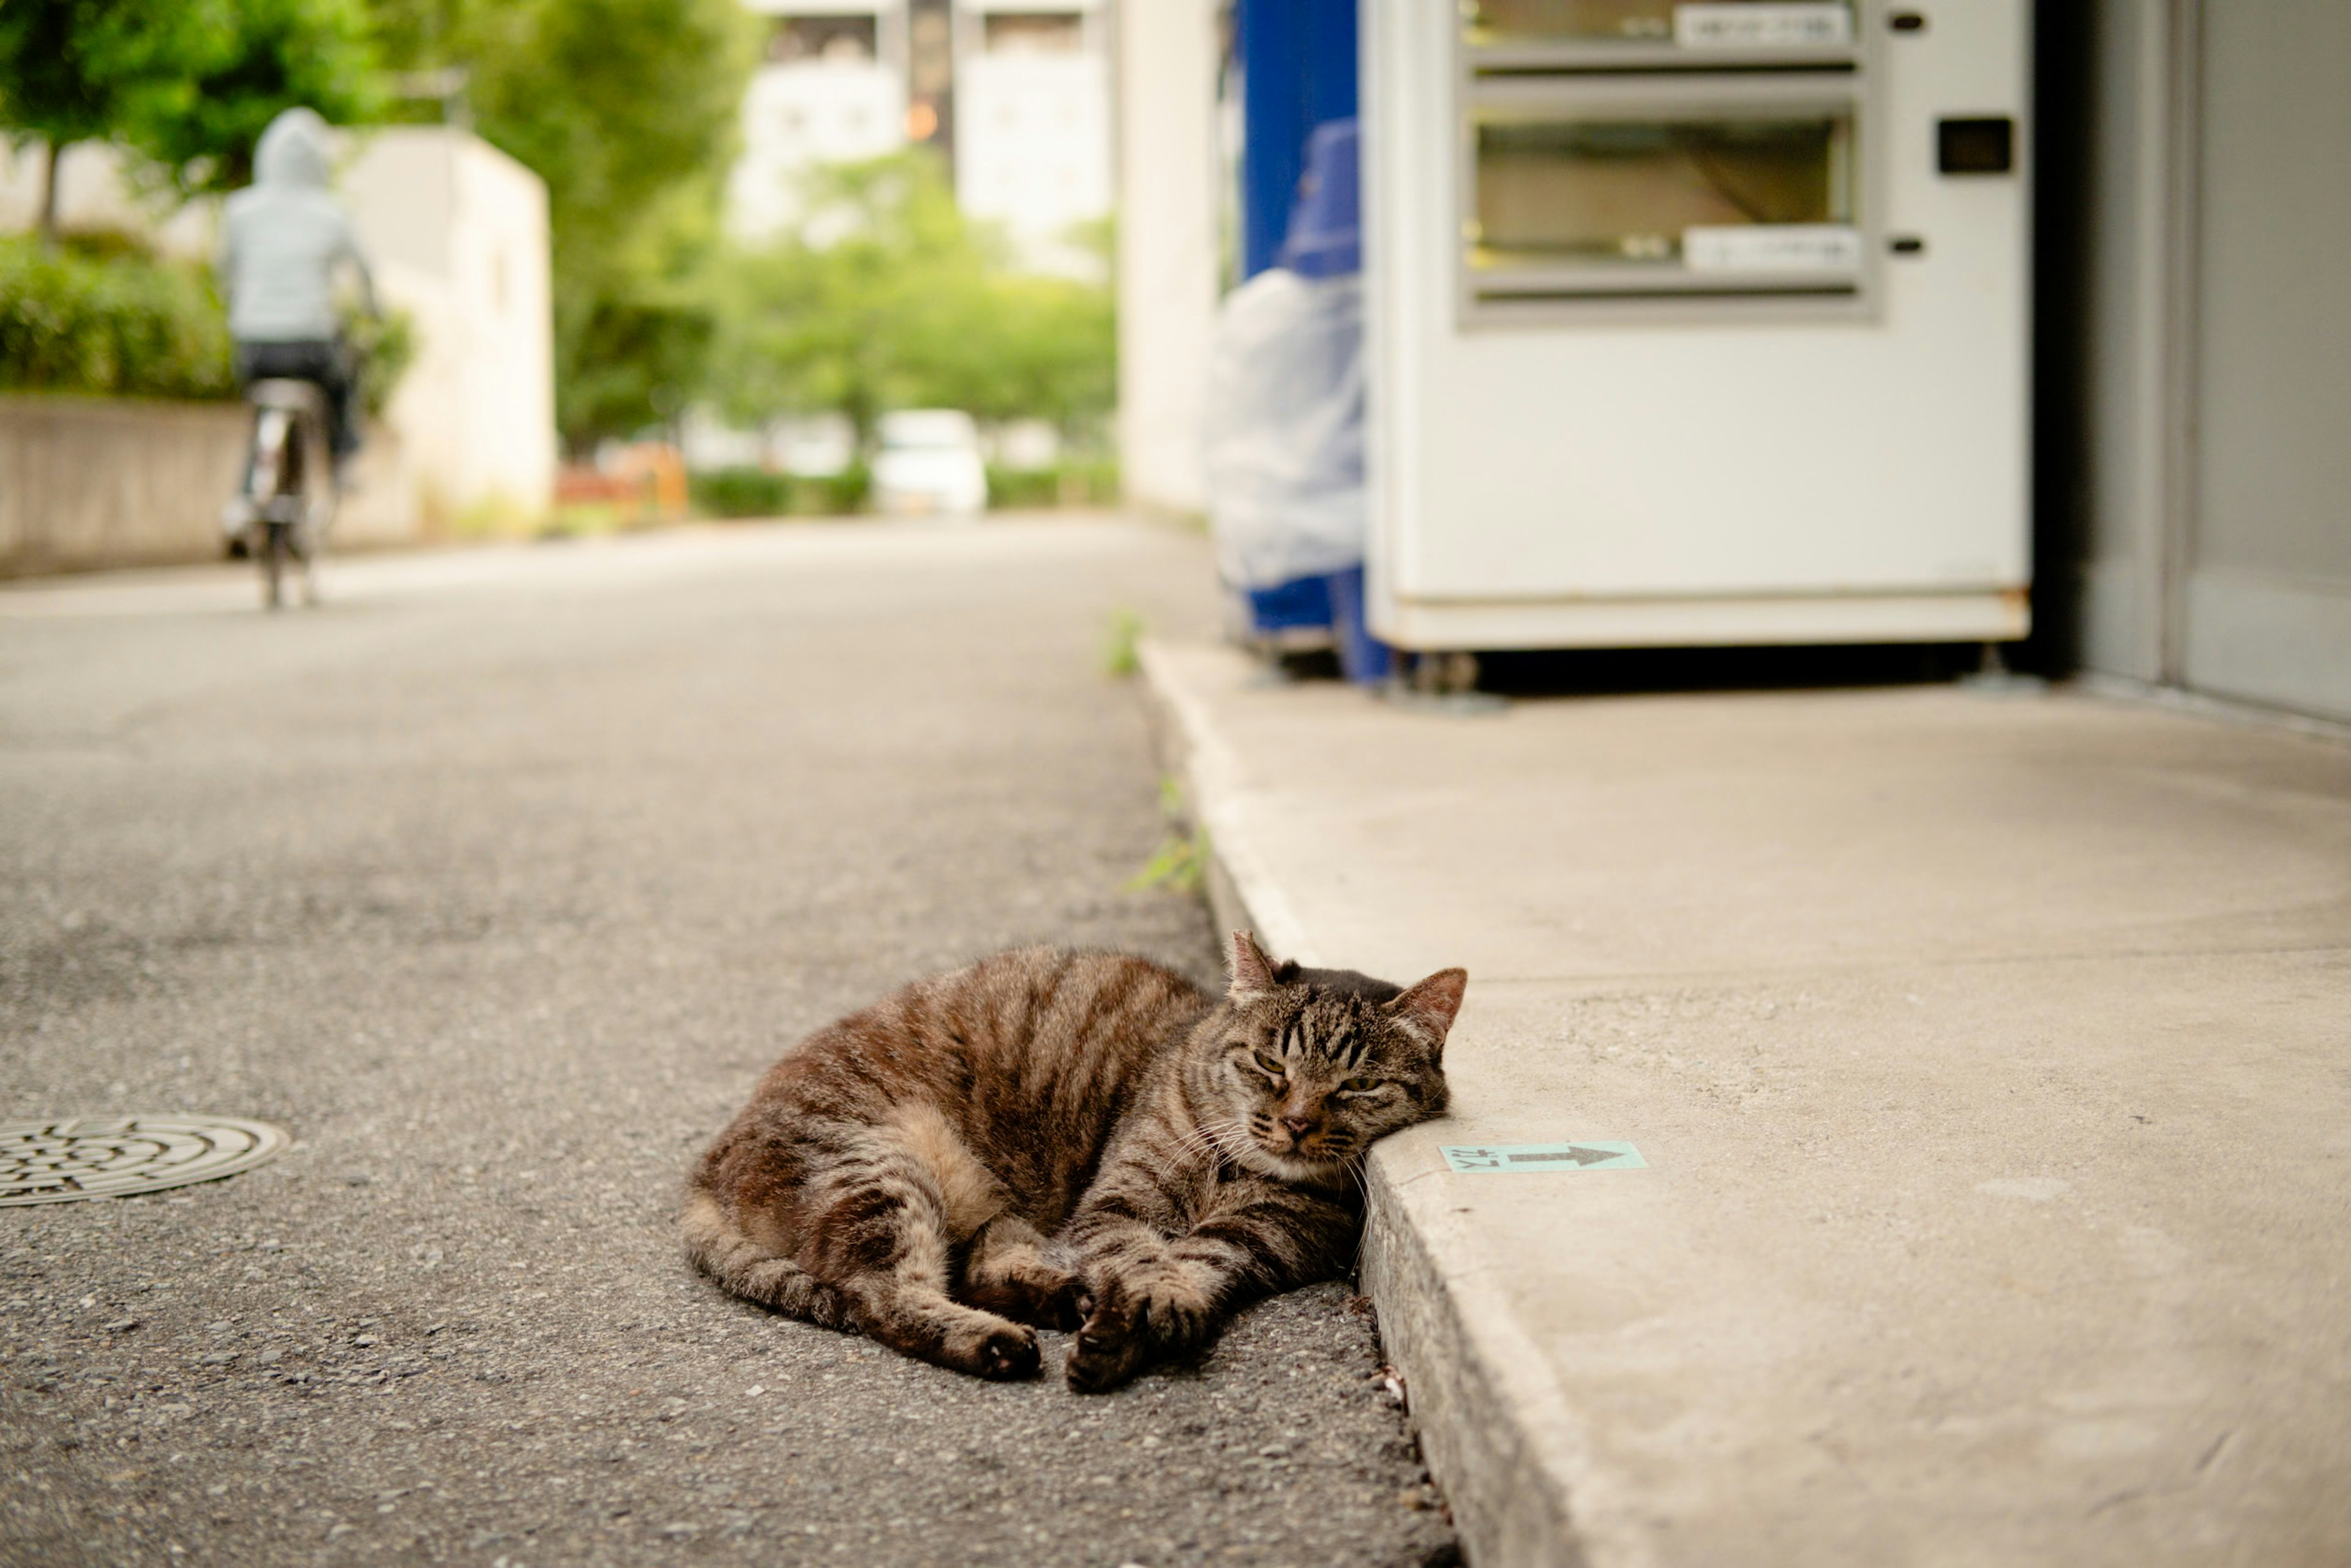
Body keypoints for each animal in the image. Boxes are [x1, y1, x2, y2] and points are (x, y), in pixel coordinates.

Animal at [681, 926, 1457, 1392]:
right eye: (1270, 1063)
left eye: (1357, 1085)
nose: (1296, 1124)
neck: (1236, 1167)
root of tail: (707, 1164)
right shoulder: (1118, 1203)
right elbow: (1147, 1258)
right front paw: (1142, 1307)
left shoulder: (1258, 1236)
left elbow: (1195, 1269)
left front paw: (1128, 1330)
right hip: (881, 1173)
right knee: (883, 1296)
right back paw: (997, 1340)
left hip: (990, 1207)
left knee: (978, 1269)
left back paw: (1069, 1298)